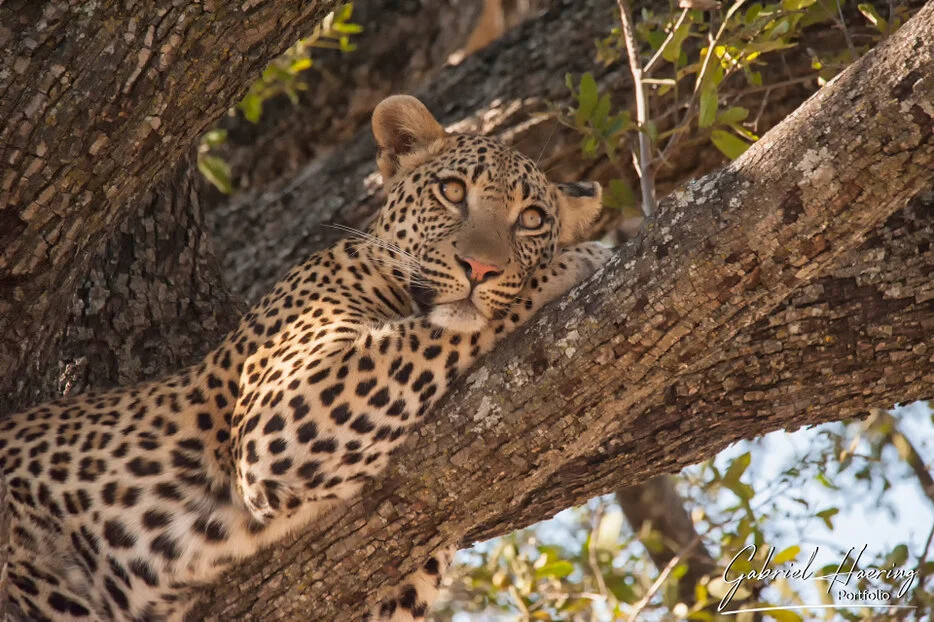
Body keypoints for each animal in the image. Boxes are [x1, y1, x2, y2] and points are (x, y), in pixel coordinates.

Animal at [0, 95, 613, 622]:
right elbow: (434, 333)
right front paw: (576, 261)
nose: (480, 269)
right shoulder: (281, 417)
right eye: (453, 190)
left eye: (531, 219)